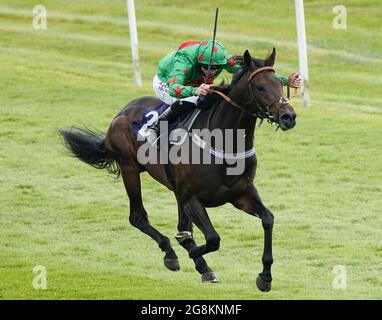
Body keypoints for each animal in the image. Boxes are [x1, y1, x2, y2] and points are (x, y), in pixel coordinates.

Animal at [61, 48, 296, 292]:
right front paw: (193, 253)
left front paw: (265, 276)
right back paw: (172, 254)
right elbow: (212, 238)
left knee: (180, 225)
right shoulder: (192, 198)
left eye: (279, 84)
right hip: (130, 169)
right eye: (259, 87)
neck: (224, 142)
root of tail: (121, 113)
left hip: (175, 190)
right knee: (138, 217)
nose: (288, 116)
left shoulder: (241, 194)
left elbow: (268, 219)